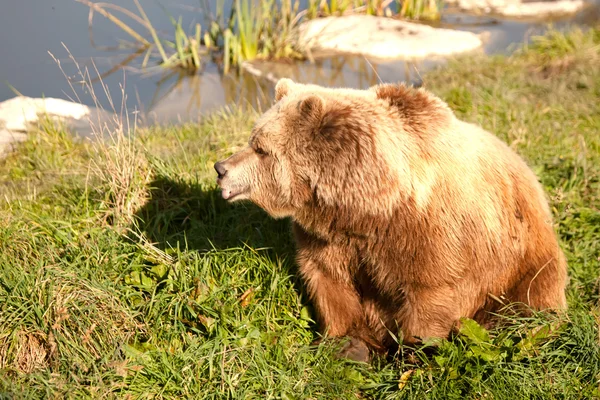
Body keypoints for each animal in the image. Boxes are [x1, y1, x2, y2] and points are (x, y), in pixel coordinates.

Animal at [214, 78, 568, 362]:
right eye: (253, 140)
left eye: (260, 148)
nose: (221, 168)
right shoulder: (328, 238)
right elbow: (329, 282)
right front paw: (348, 346)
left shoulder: (429, 234)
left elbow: (429, 294)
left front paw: (413, 354)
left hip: (522, 256)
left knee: (530, 302)